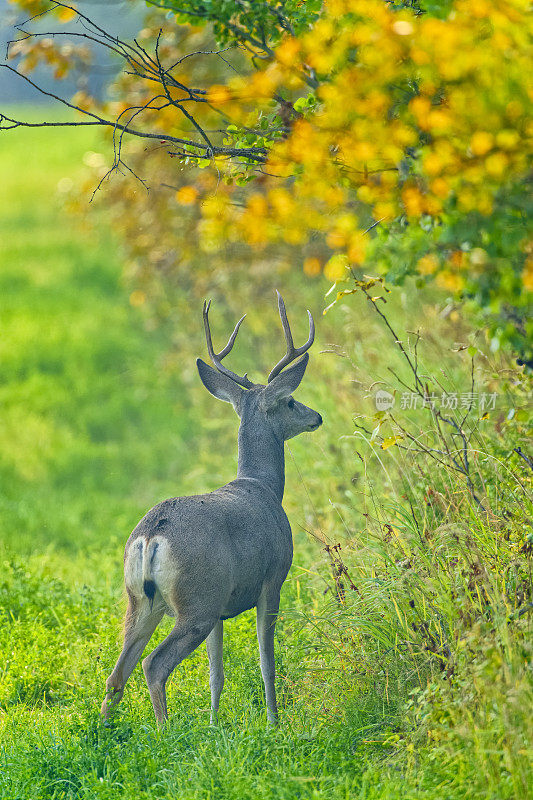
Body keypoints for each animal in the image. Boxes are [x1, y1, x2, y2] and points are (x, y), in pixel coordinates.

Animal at [101, 292, 322, 724]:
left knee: (117, 675)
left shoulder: (221, 608)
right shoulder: (272, 581)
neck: (262, 487)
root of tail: (151, 535)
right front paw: (274, 722)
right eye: (290, 401)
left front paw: (214, 724)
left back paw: (102, 733)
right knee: (153, 664)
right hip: (195, 601)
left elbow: (215, 673)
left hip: (141, 601)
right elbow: (266, 662)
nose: (316, 417)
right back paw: (165, 731)